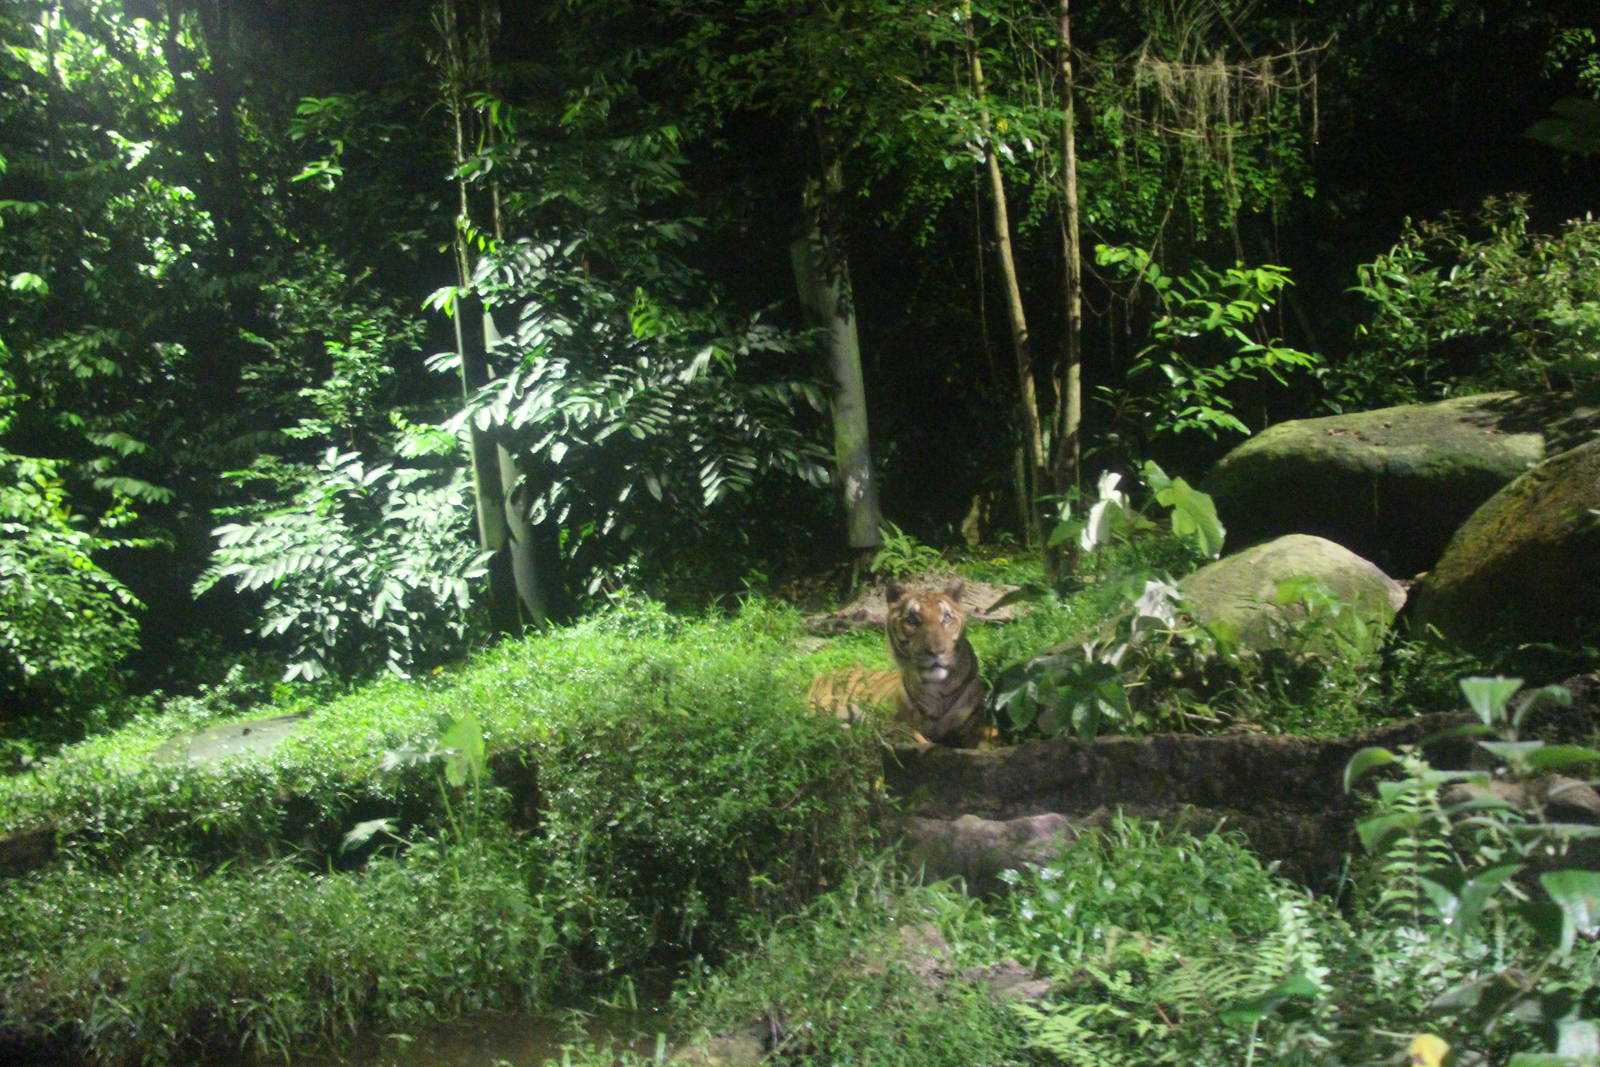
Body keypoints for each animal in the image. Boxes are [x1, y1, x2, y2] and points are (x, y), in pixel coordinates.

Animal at [805, 580, 995, 748]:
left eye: (946, 618)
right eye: (912, 620)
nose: (936, 651)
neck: (937, 690)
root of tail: (822, 675)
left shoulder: (973, 727)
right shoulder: (898, 726)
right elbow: (920, 741)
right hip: (823, 706)